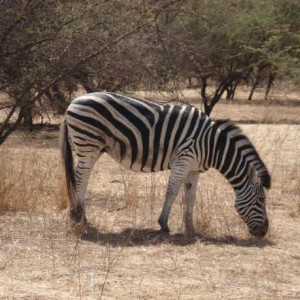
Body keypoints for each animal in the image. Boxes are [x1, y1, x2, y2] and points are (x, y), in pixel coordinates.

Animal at [61, 92, 272, 238]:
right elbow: (172, 191)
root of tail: (73, 101)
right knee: (79, 178)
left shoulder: (194, 168)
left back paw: (80, 216)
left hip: (94, 147)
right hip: (88, 143)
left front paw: (190, 229)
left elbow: (190, 197)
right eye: (261, 199)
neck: (213, 146)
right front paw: (163, 224)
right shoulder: (183, 159)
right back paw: (79, 216)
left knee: (82, 177)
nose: (263, 232)